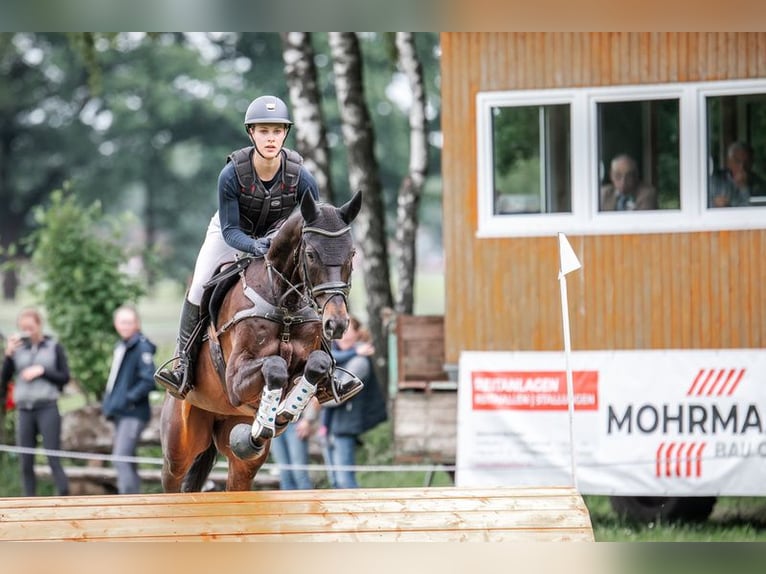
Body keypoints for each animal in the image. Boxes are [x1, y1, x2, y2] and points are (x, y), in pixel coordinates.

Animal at [161, 191, 364, 492]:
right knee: (174, 478)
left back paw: (251, 437)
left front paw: (284, 411)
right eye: (311, 254)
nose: (336, 323)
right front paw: (273, 417)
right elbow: (274, 365)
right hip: (179, 445)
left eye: (352, 254)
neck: (285, 303)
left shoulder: (309, 357)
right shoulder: (234, 377)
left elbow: (316, 364)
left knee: (239, 476)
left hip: (240, 455)